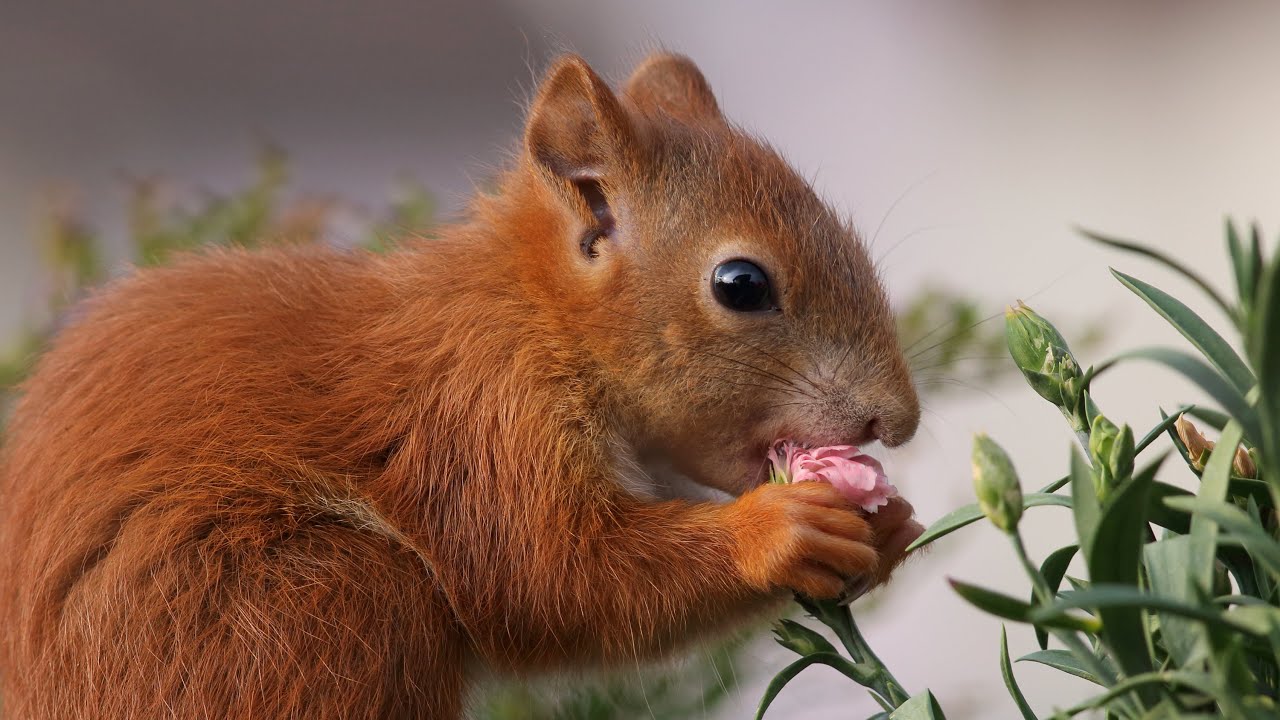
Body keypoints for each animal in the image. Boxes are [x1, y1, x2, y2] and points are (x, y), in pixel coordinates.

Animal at [0, 53, 923, 718]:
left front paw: (887, 529)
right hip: (303, 604)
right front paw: (779, 528)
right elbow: (554, 577)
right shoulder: (481, 419)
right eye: (741, 284)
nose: (898, 421)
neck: (537, 317)